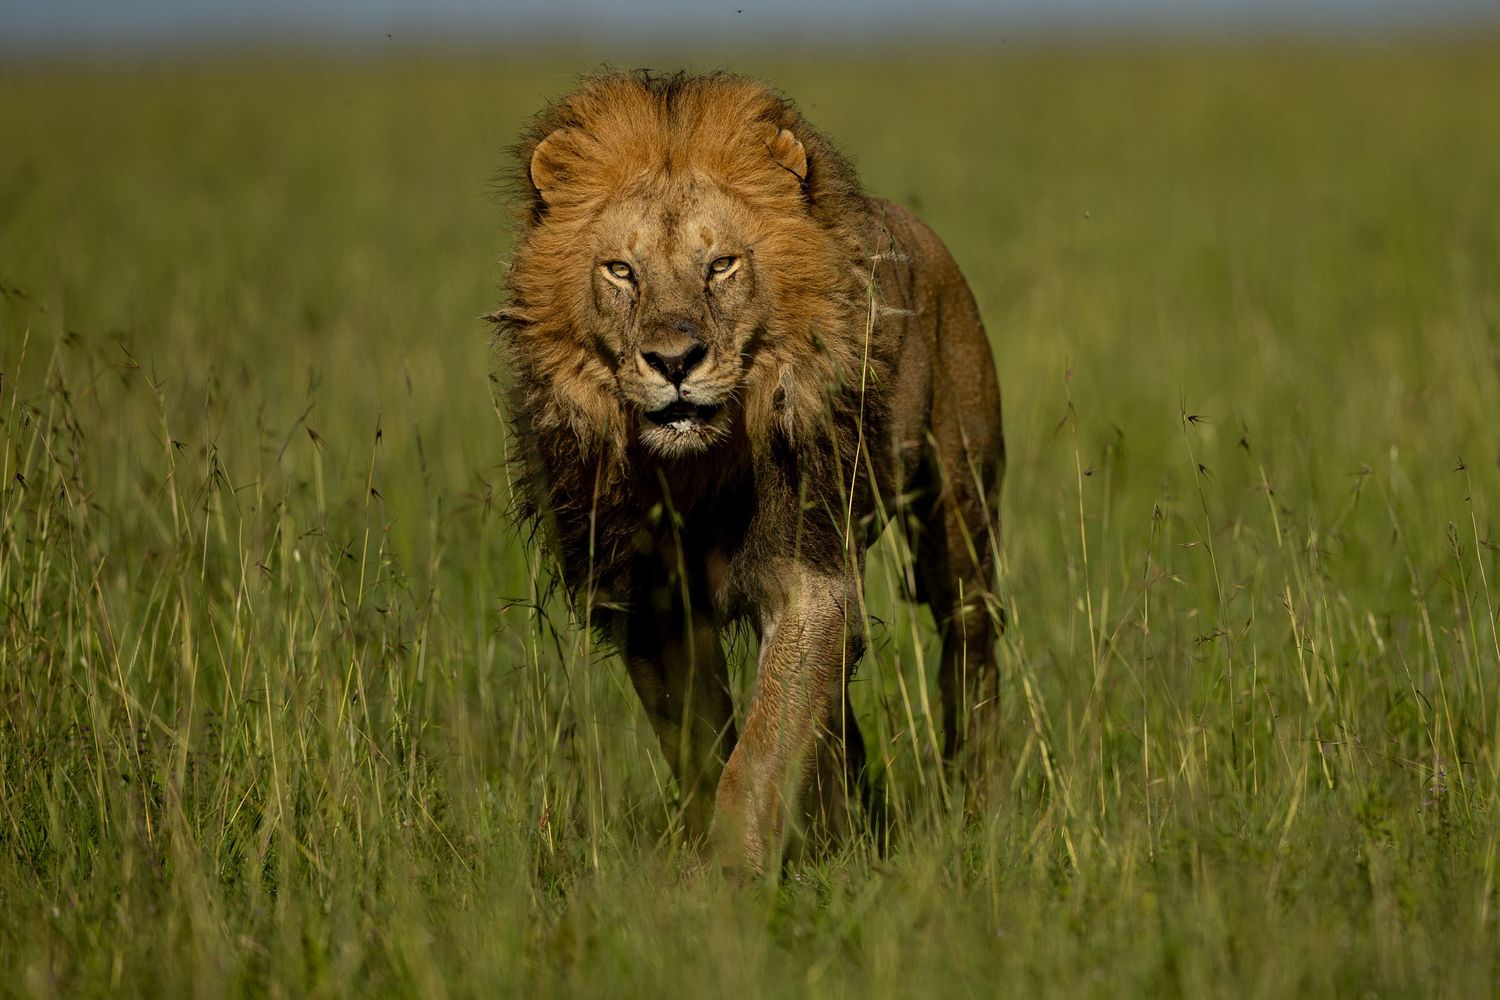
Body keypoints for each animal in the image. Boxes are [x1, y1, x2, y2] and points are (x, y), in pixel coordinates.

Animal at [491, 70, 1004, 876]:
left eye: (721, 266)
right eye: (621, 271)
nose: (673, 361)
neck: (694, 471)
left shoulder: (810, 578)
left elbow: (762, 748)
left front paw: (732, 877)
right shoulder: (653, 608)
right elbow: (706, 748)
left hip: (960, 516)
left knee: (971, 648)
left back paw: (976, 803)